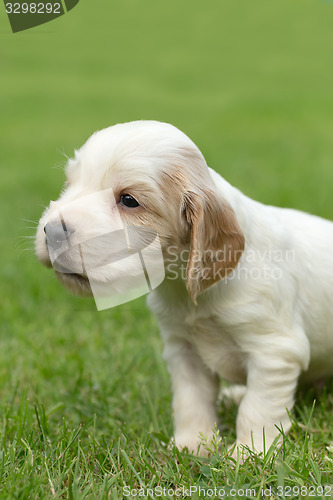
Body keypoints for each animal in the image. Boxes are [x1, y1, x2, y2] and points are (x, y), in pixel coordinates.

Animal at [35, 121, 332, 458]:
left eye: (129, 200)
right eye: (69, 184)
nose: (51, 232)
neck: (189, 293)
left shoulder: (274, 349)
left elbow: (257, 408)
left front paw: (249, 453)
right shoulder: (184, 351)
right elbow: (192, 401)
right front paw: (192, 445)